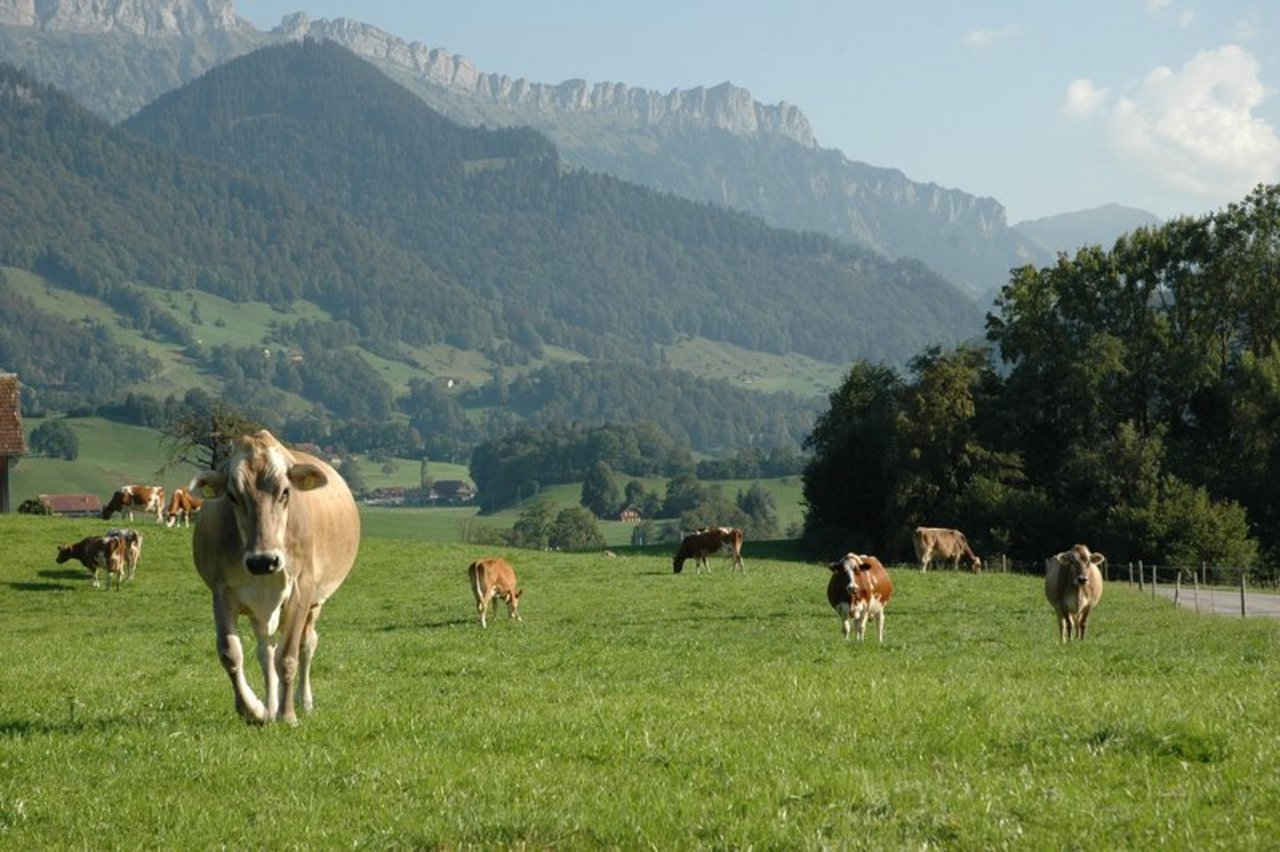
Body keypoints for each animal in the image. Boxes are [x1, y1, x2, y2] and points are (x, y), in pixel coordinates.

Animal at [190, 427, 360, 721]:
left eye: (285, 492)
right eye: (233, 496)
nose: (263, 561)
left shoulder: (301, 590)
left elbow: (288, 656)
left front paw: (288, 715)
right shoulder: (222, 592)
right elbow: (231, 653)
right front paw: (254, 710)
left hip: (315, 603)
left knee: (307, 644)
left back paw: (303, 702)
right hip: (260, 611)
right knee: (265, 652)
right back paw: (270, 706)